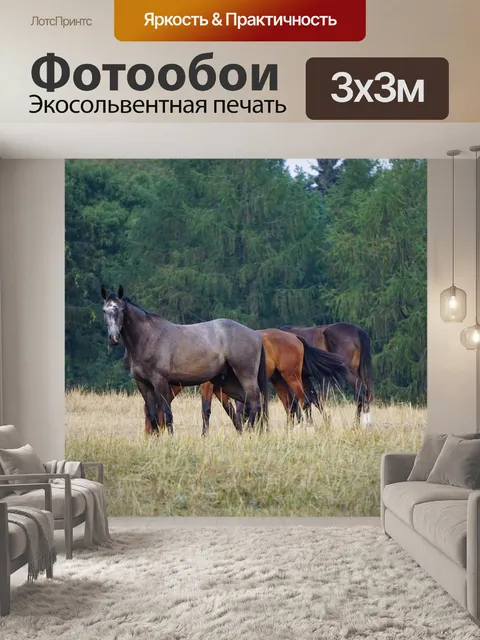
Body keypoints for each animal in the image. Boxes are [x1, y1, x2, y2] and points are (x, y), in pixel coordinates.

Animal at [101, 286, 269, 434]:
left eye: (121, 310)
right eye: (104, 310)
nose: (113, 338)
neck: (148, 338)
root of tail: (255, 335)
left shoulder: (160, 382)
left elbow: (167, 414)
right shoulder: (143, 384)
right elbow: (152, 415)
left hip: (245, 376)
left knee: (255, 402)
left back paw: (251, 432)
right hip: (226, 382)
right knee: (249, 402)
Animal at [137, 328, 348, 436]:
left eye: (147, 414)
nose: (149, 434)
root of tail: (294, 337)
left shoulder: (208, 386)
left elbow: (206, 410)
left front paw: (205, 435)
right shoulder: (219, 389)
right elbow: (231, 410)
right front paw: (241, 430)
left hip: (292, 377)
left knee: (304, 401)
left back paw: (306, 428)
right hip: (279, 379)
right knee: (292, 404)